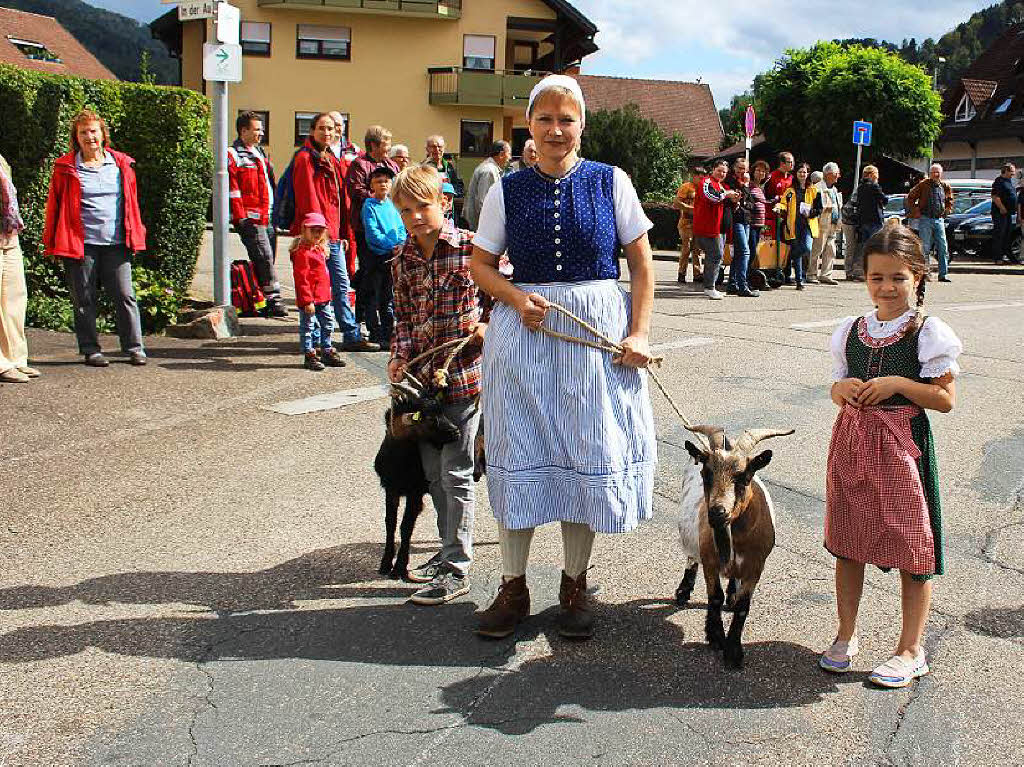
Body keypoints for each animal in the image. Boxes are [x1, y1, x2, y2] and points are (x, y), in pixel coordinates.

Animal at [675, 428, 794, 667]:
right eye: (706, 473)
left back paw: (731, 592)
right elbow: (714, 598)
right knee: (691, 558)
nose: (717, 512)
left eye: (743, 476)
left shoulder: (756, 567)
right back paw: (683, 590)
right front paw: (716, 637)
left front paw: (733, 652)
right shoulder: (710, 562)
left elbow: (742, 607)